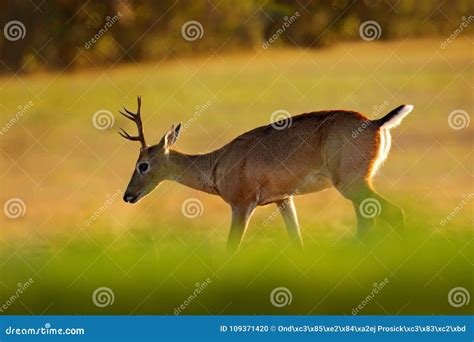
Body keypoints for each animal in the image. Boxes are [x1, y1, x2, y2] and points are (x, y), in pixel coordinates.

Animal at [119, 96, 412, 251]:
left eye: (143, 164)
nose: (127, 196)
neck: (216, 164)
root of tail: (375, 123)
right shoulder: (283, 199)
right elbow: (297, 240)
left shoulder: (242, 204)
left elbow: (232, 247)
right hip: (356, 185)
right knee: (368, 218)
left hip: (352, 183)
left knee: (393, 212)